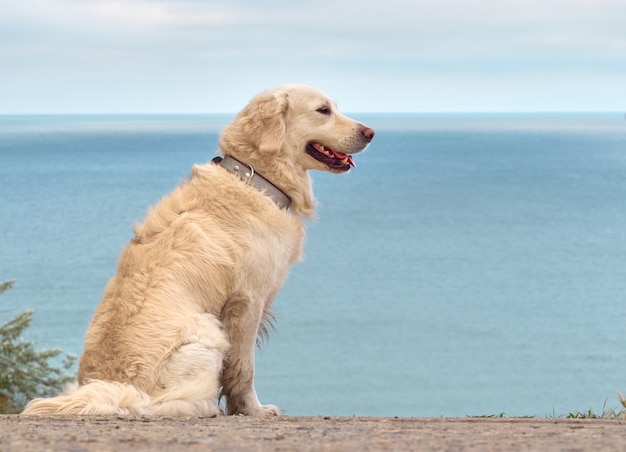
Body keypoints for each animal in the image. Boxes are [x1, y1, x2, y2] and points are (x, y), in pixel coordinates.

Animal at [22, 85, 372, 416]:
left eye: (334, 107)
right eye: (323, 110)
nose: (370, 132)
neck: (255, 179)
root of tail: (115, 387)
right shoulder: (247, 302)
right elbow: (243, 369)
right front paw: (253, 410)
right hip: (206, 335)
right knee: (159, 405)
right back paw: (204, 408)